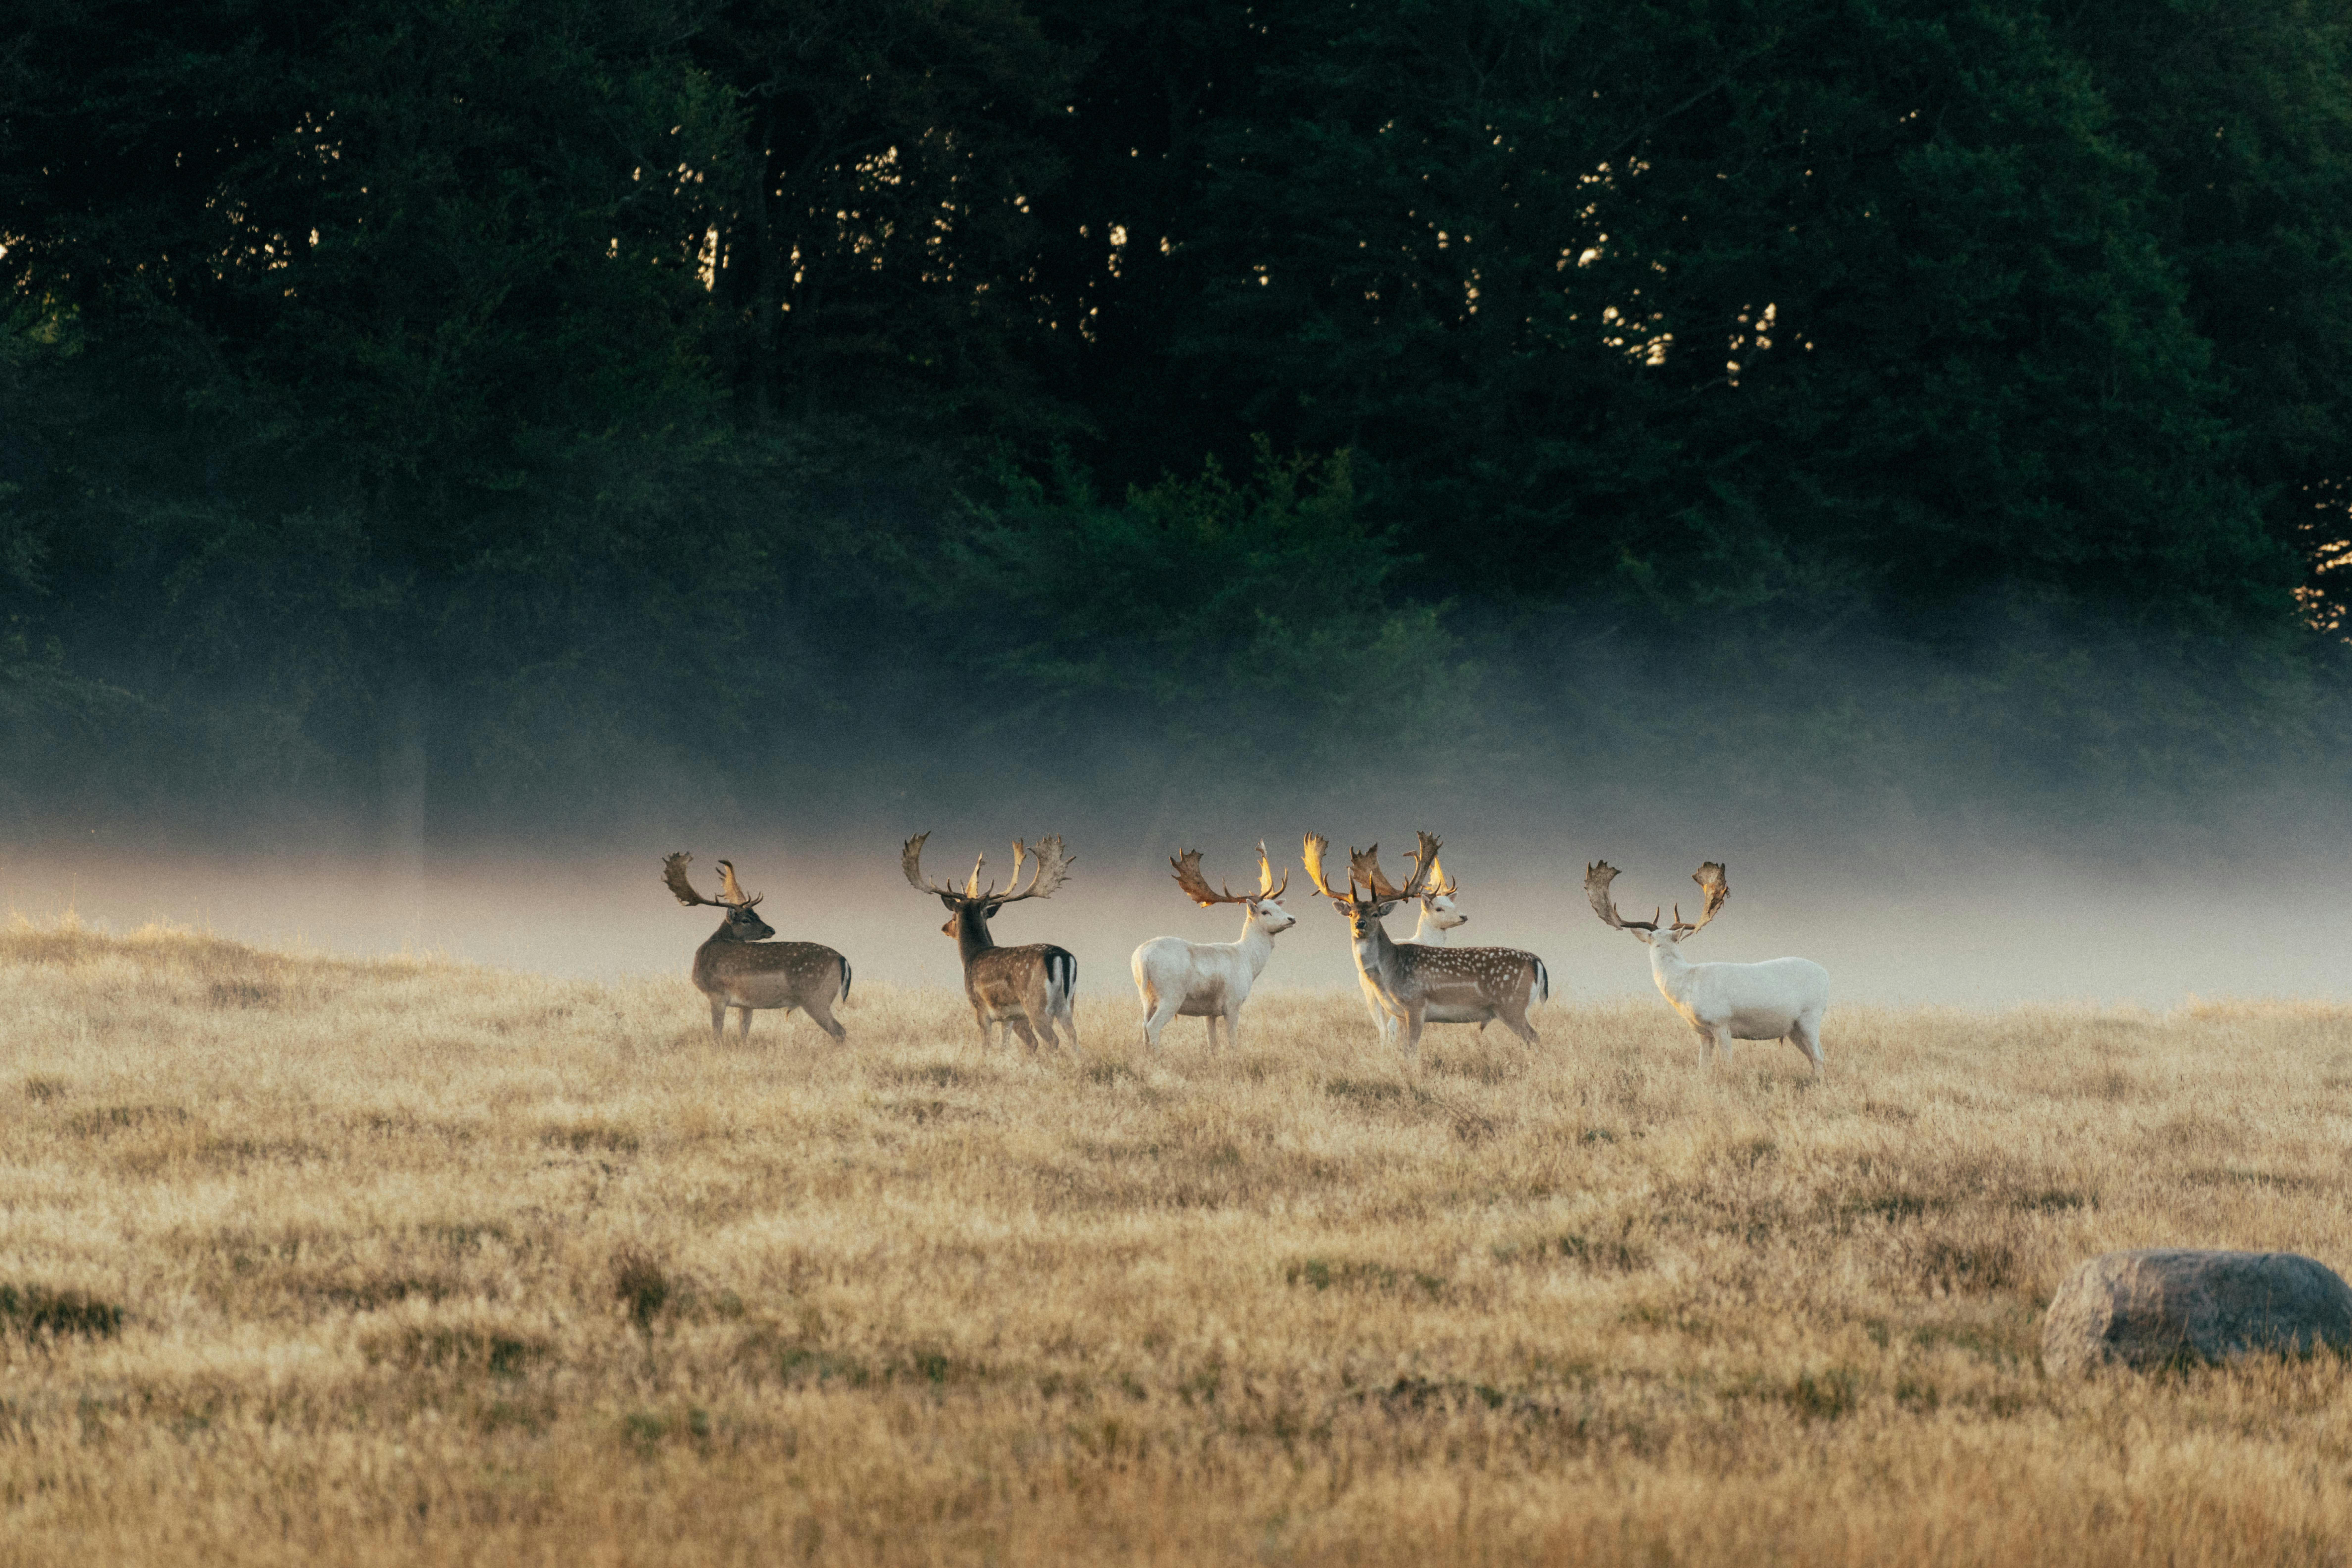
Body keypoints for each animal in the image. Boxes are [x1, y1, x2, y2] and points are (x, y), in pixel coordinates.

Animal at [661, 853, 850, 1041]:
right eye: (747, 919)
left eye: (756, 915)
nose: (771, 930)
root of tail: (843, 960)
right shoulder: (746, 1004)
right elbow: (743, 1033)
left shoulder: (717, 994)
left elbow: (717, 1033)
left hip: (815, 998)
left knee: (840, 1031)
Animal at [903, 833, 1078, 1052]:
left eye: (953, 917)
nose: (944, 928)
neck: (972, 956)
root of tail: (1062, 957)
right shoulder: (1008, 1017)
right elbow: (1004, 1046)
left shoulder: (980, 1008)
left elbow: (986, 1046)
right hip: (1068, 1005)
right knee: (1074, 1038)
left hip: (1036, 1005)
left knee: (1053, 1040)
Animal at [1130, 842, 1297, 1050]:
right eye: (1265, 912)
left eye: (1279, 907)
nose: (1292, 919)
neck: (1249, 961)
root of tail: (1142, 958)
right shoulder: (1233, 1003)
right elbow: (1233, 1042)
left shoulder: (1209, 1013)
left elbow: (1213, 1043)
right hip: (1171, 994)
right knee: (1153, 1026)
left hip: (1145, 996)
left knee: (1143, 1025)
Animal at [1302, 831, 1548, 1057]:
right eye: (1352, 913)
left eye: (1375, 914)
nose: (1360, 924)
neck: (1389, 973)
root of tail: (1538, 962)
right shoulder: (1400, 1014)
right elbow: (1402, 1049)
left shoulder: (1416, 1005)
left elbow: (1411, 1050)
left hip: (1511, 1005)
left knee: (1535, 1039)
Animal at [1586, 860, 1827, 1071]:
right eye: (1654, 940)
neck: (1687, 986)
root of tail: (1827, 975)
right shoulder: (1703, 1032)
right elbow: (1703, 1066)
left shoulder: (1722, 1023)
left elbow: (1728, 1064)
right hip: (1793, 1029)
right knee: (1814, 1058)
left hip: (1810, 1017)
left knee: (1819, 1057)